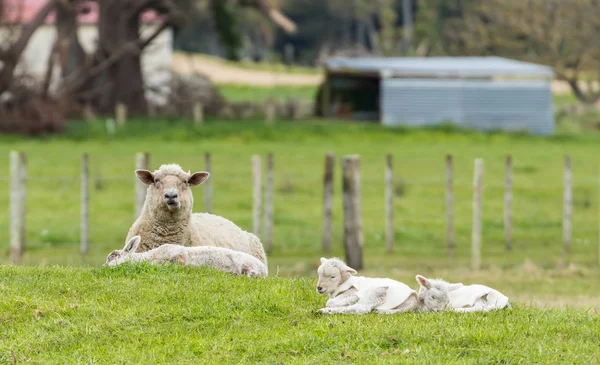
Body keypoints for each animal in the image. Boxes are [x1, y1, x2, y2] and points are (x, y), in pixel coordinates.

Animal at [105, 235, 268, 278]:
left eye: (113, 256)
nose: (104, 268)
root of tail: (265, 270)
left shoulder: (177, 253)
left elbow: (176, 262)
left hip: (244, 263)